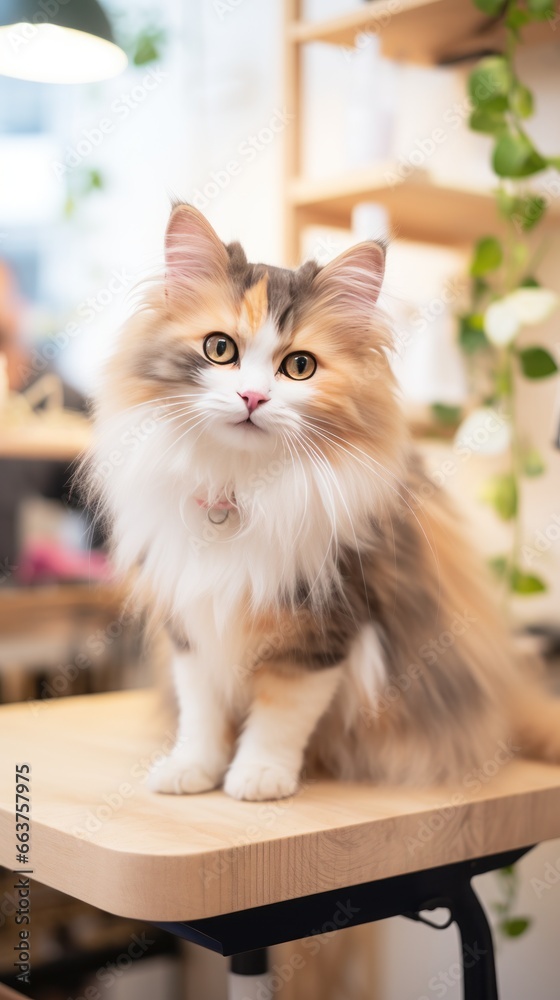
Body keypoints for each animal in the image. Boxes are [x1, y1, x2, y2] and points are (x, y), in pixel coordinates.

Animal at [85, 205, 560, 804]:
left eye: (299, 366)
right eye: (219, 349)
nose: (252, 397)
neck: (242, 490)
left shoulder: (325, 624)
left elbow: (282, 714)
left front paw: (259, 777)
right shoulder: (192, 620)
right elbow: (201, 708)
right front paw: (192, 769)